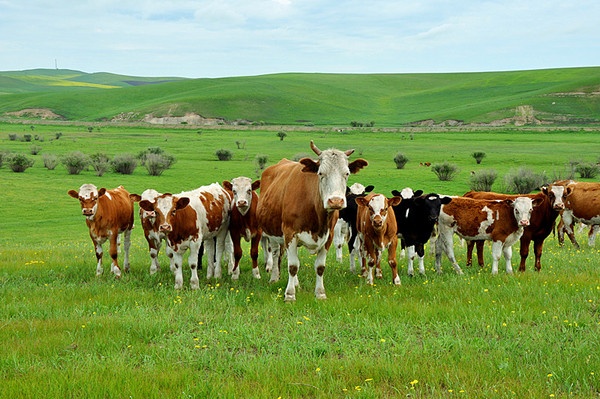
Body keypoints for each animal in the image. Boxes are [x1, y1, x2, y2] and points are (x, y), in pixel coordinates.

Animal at [254, 141, 366, 300]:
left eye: (346, 173)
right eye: (321, 173)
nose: (335, 201)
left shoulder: (329, 236)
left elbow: (320, 267)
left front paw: (320, 293)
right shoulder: (290, 233)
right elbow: (293, 266)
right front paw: (289, 295)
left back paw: (296, 283)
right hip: (273, 233)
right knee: (275, 254)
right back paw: (274, 278)